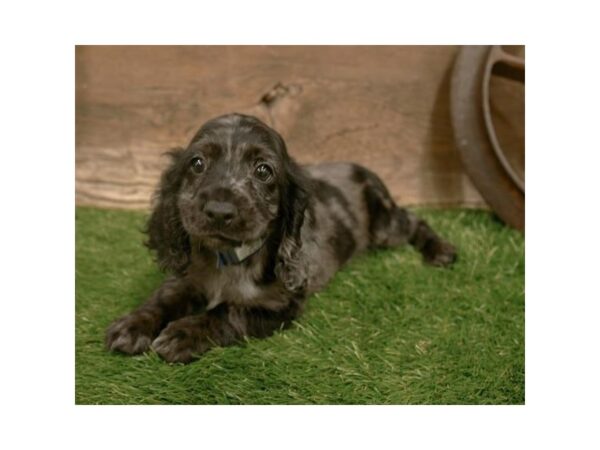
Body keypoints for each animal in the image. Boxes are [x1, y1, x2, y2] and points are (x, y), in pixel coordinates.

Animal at [106, 112, 454, 362]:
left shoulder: (282, 305)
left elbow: (228, 312)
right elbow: (163, 298)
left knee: (415, 221)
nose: (219, 211)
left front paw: (183, 333)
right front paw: (133, 324)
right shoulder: (188, 279)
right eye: (197, 163)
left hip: (384, 226)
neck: (229, 260)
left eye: (263, 170)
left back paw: (441, 251)